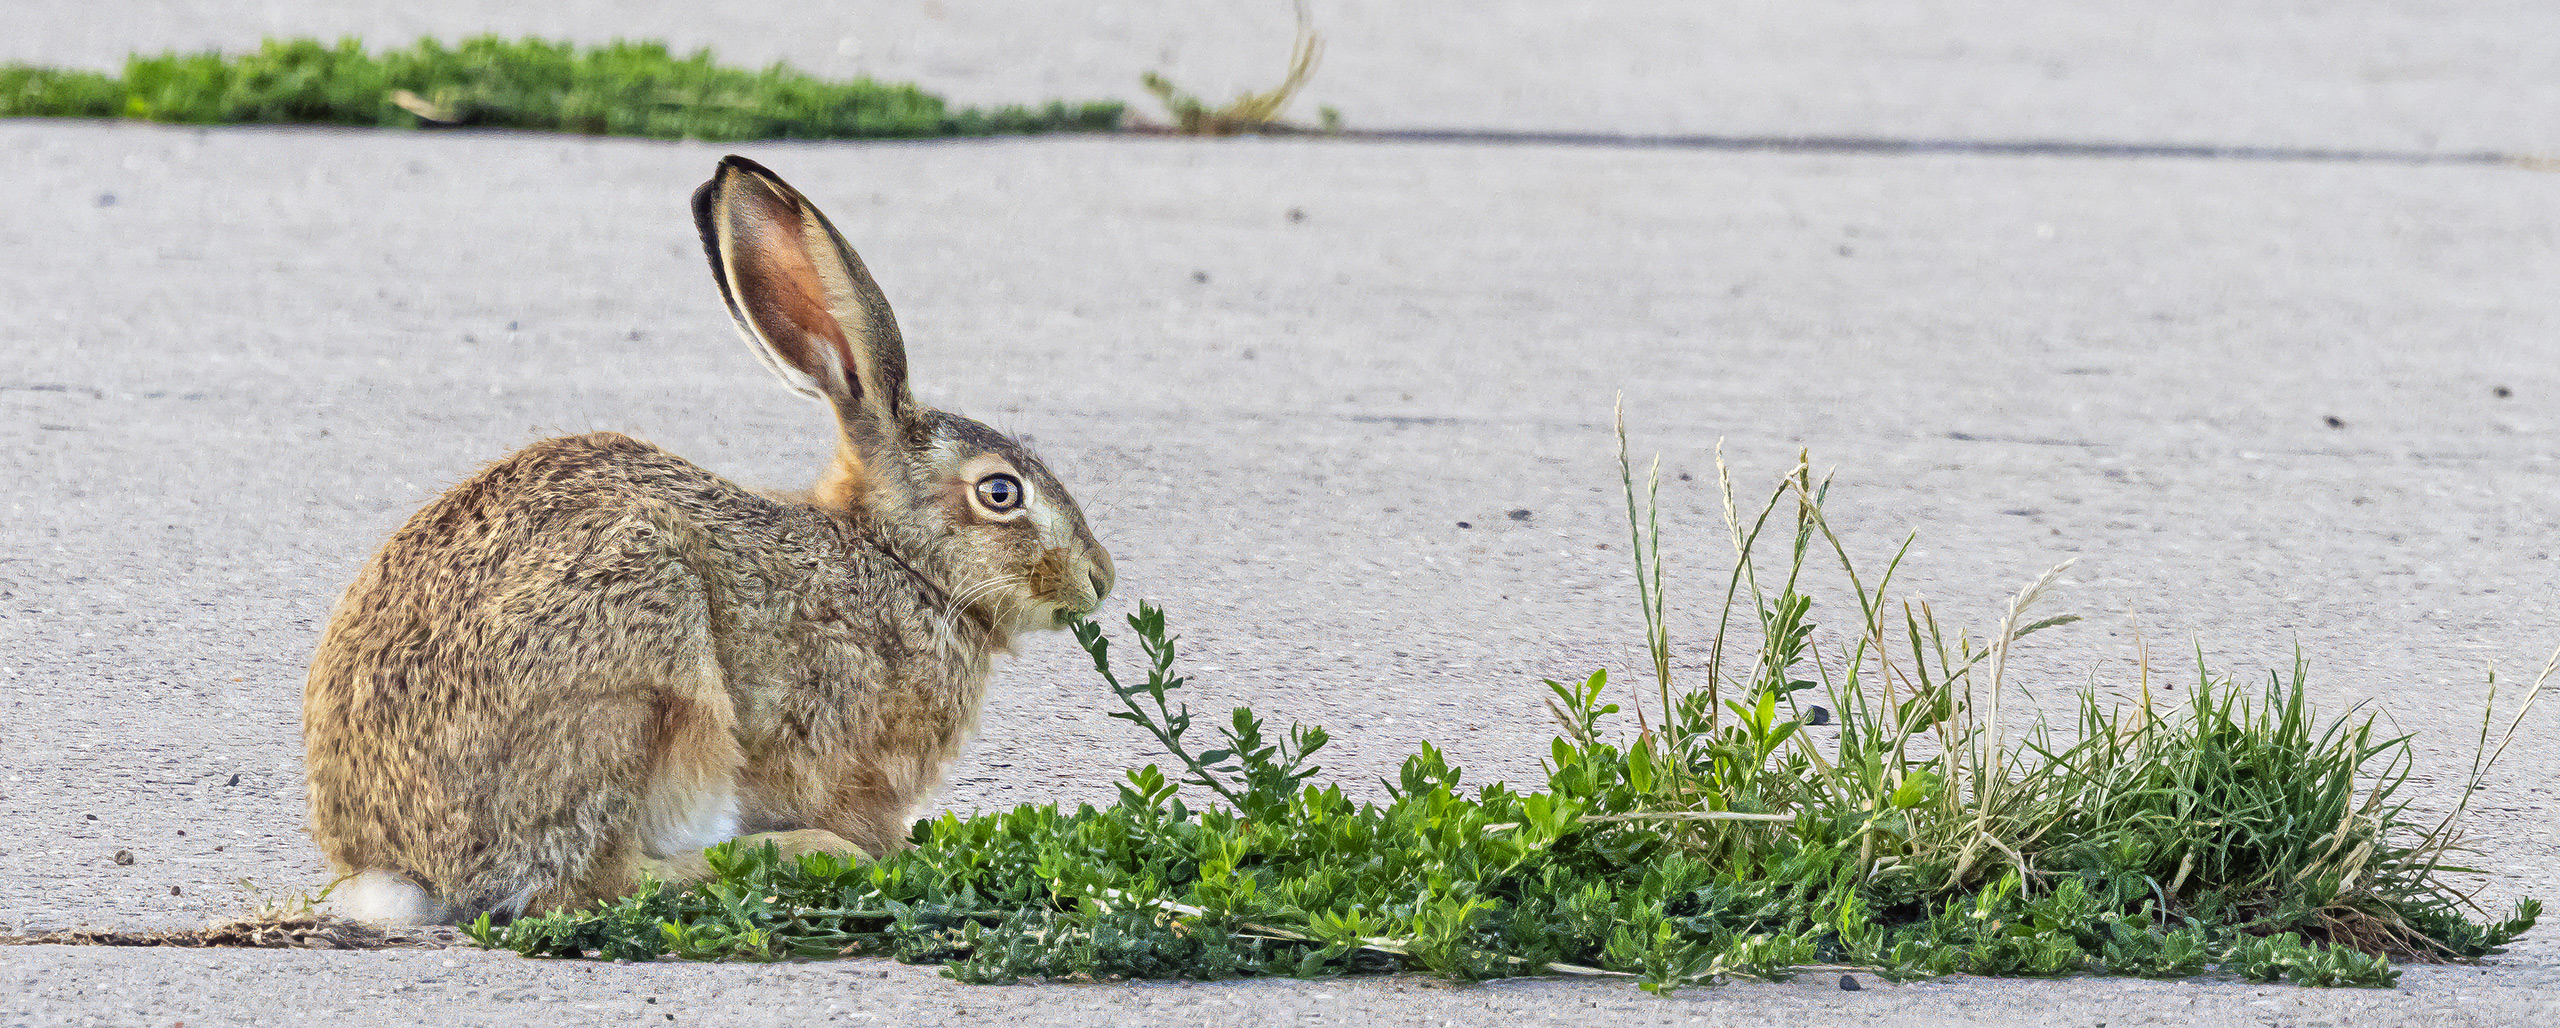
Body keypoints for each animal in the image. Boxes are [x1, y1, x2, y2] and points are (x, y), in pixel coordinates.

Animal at [302, 155, 1114, 924]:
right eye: (1000, 493)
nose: (1099, 579)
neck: (898, 560)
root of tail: (402, 869)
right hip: (647, 666)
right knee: (597, 881)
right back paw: (807, 853)